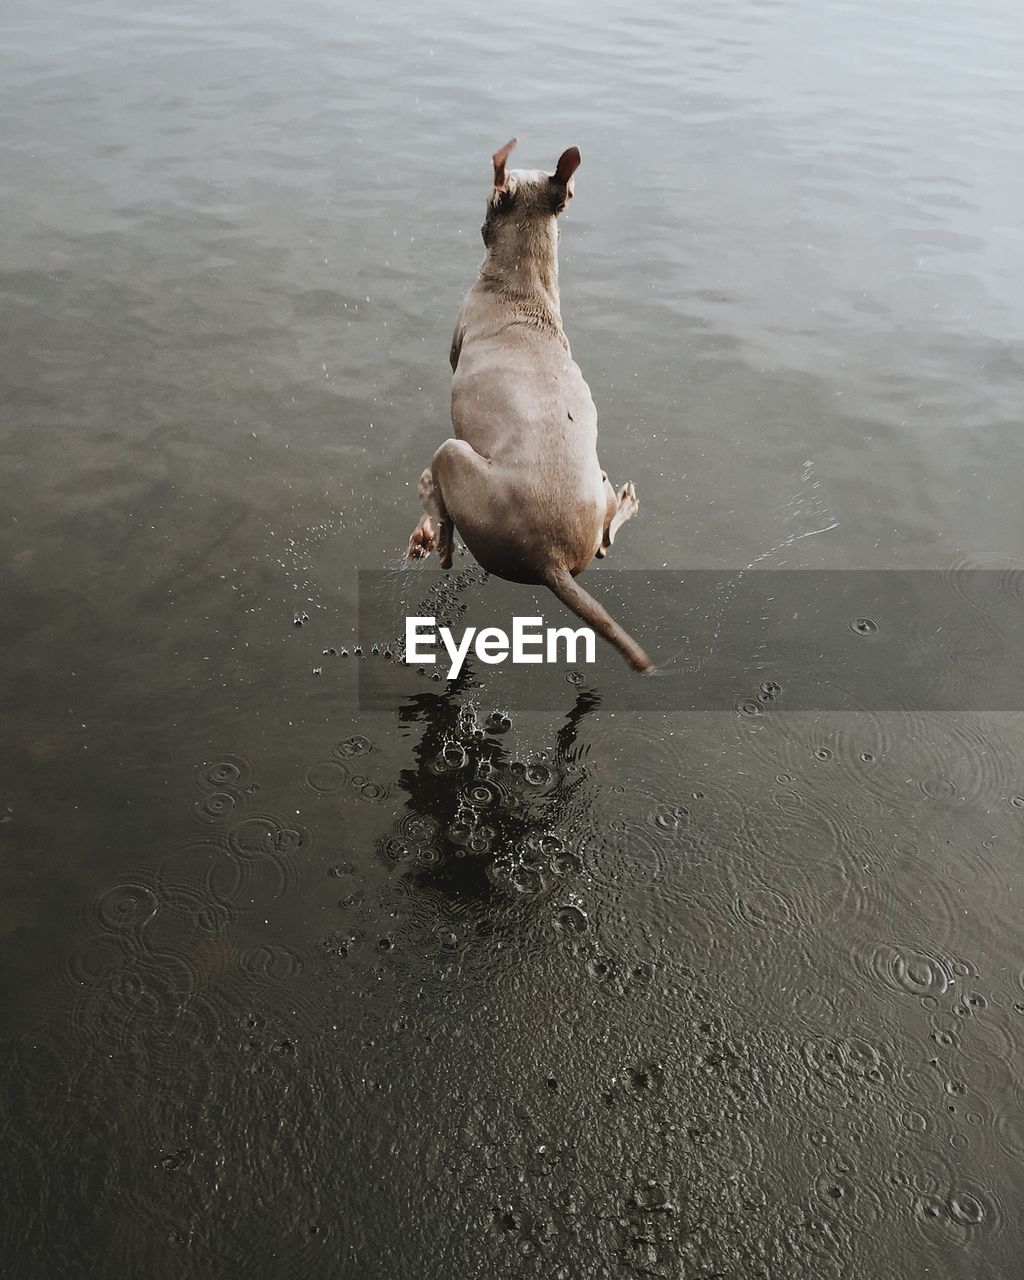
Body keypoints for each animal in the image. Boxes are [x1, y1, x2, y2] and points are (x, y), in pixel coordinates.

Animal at [407, 138, 652, 675]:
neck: (522, 288)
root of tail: (550, 558)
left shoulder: (458, 337)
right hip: (593, 491)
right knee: (605, 543)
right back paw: (624, 504)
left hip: (457, 456)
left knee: (445, 518)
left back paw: (431, 524)